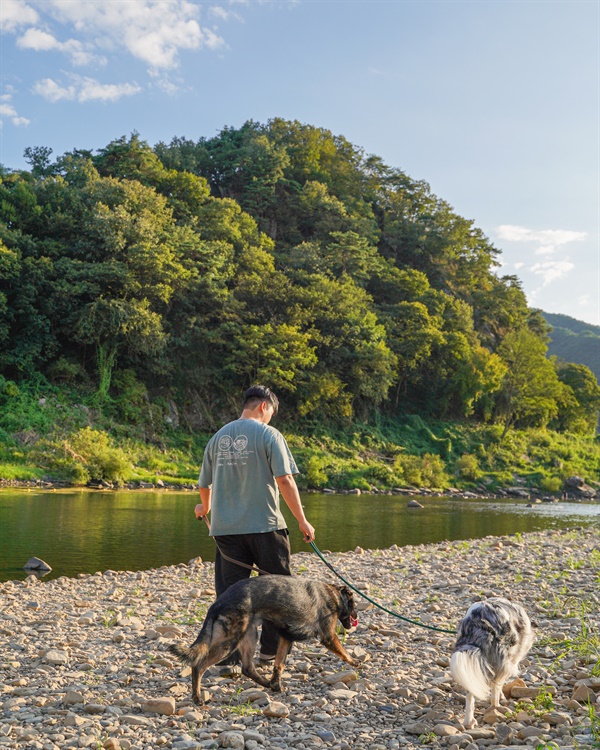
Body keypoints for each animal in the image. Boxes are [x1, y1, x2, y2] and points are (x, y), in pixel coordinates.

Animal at [166, 576, 358, 704]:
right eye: (354, 604)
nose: (357, 617)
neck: (333, 594)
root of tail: (217, 603)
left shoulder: (285, 638)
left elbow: (279, 664)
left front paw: (275, 683)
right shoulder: (329, 636)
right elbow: (344, 652)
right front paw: (355, 662)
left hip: (249, 636)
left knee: (248, 668)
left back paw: (267, 684)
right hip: (229, 642)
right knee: (199, 665)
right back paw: (197, 697)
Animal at [450, 600, 536, 728]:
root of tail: (479, 623)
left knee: (470, 694)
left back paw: (468, 721)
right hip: (504, 661)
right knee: (495, 688)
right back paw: (496, 707)